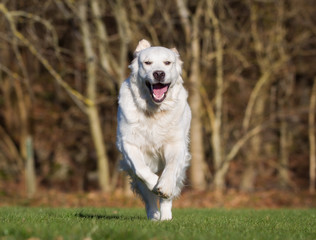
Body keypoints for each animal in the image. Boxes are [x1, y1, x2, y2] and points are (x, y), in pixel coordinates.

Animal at [115, 39, 190, 221]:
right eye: (147, 63)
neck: (154, 111)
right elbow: (141, 170)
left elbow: (171, 168)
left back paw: (165, 216)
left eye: (167, 62)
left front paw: (164, 186)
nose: (159, 74)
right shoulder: (128, 143)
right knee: (147, 195)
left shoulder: (175, 145)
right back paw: (154, 215)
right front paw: (154, 182)